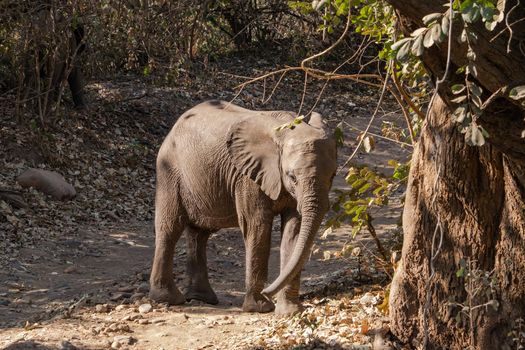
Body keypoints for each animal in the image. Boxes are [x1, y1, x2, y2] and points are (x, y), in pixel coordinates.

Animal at [148, 99, 336, 314]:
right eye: (292, 177)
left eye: (333, 175)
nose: (268, 292)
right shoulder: (247, 176)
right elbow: (257, 226)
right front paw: (260, 308)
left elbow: (294, 231)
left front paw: (290, 311)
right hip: (169, 170)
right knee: (170, 227)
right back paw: (169, 299)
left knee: (200, 232)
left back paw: (202, 299)